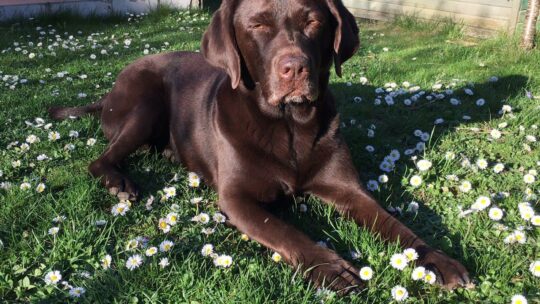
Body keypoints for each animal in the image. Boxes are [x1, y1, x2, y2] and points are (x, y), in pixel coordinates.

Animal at [49, 0, 468, 294]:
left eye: (313, 22)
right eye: (258, 26)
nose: (295, 68)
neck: (288, 125)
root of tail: (107, 95)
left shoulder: (348, 189)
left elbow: (395, 225)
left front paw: (436, 260)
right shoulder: (237, 199)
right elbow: (286, 232)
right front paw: (330, 266)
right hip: (146, 99)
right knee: (101, 159)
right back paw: (119, 182)